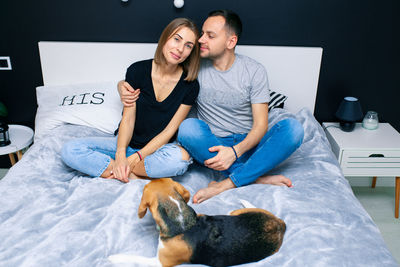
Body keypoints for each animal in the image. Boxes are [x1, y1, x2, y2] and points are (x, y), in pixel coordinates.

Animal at [108, 178, 286, 267]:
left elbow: (134, 258)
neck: (182, 221)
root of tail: (280, 225)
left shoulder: (160, 262)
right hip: (235, 213)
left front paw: (114, 257)